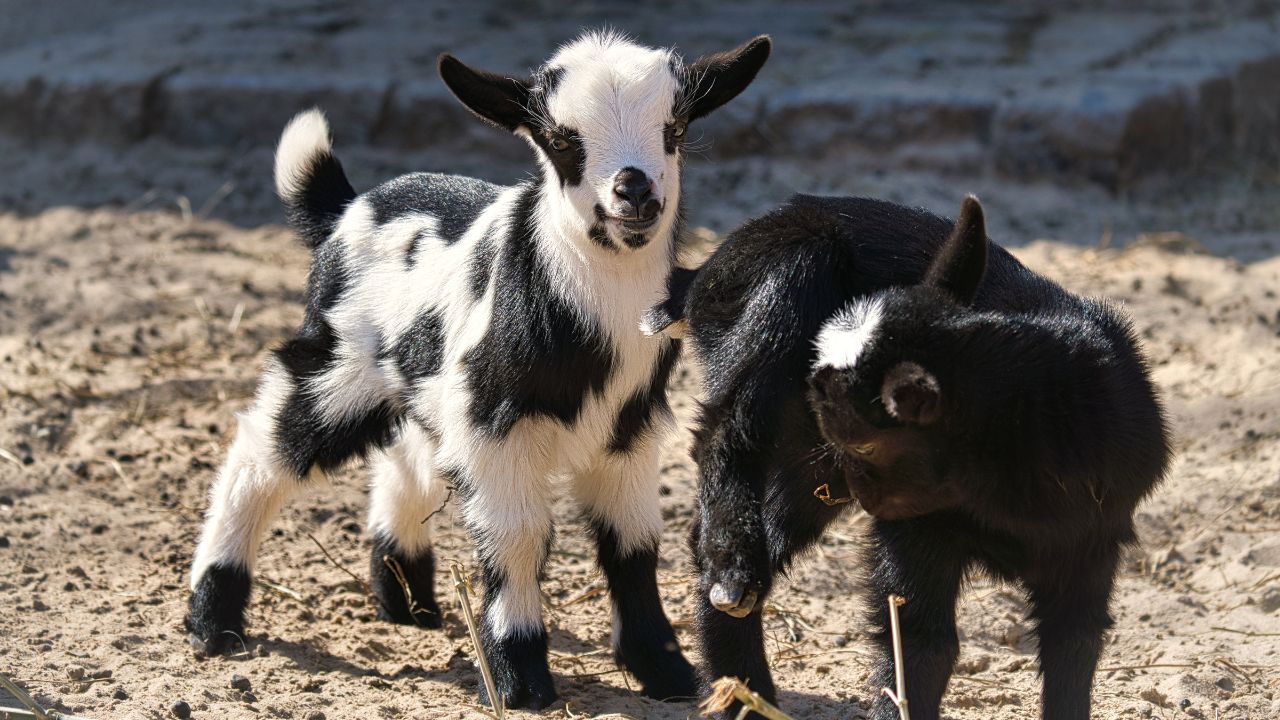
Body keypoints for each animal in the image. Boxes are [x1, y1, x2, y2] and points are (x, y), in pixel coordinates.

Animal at [185, 31, 771, 710]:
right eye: (561, 139)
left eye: (674, 129)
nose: (635, 192)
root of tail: (346, 209)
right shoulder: (496, 426)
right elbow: (518, 536)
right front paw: (521, 677)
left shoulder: (628, 431)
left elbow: (633, 543)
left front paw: (666, 671)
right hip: (339, 368)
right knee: (263, 453)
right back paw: (213, 619)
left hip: (427, 386)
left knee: (408, 459)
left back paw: (406, 602)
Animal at [649, 195, 1169, 719]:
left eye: (861, 437)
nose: (851, 481)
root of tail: (704, 271)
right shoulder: (918, 527)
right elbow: (922, 640)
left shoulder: (1091, 540)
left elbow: (1075, 646)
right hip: (778, 296)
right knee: (730, 426)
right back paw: (733, 581)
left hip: (804, 474)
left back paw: (743, 690)